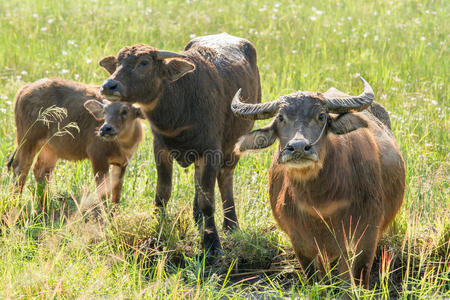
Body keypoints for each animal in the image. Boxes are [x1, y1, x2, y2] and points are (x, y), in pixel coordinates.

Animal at [7, 77, 144, 205]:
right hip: (28, 137)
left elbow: (117, 191)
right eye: (105, 111)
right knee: (20, 167)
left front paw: (114, 210)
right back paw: (15, 201)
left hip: (49, 147)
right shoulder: (97, 155)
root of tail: (24, 89)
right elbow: (103, 190)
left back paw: (44, 202)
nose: (105, 129)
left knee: (41, 170)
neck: (122, 145)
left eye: (125, 111)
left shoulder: (122, 162)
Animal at [97, 32, 260, 258]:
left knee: (225, 178)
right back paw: (198, 221)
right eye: (119, 62)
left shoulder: (212, 151)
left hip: (233, 146)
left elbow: (208, 200)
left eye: (144, 62)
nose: (109, 86)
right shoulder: (160, 149)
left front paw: (212, 244)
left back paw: (230, 225)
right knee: (198, 180)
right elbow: (163, 194)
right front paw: (158, 232)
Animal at [232, 78, 404, 288]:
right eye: (280, 118)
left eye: (321, 116)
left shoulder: (365, 236)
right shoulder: (300, 242)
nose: (298, 147)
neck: (320, 204)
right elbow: (315, 280)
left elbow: (357, 279)